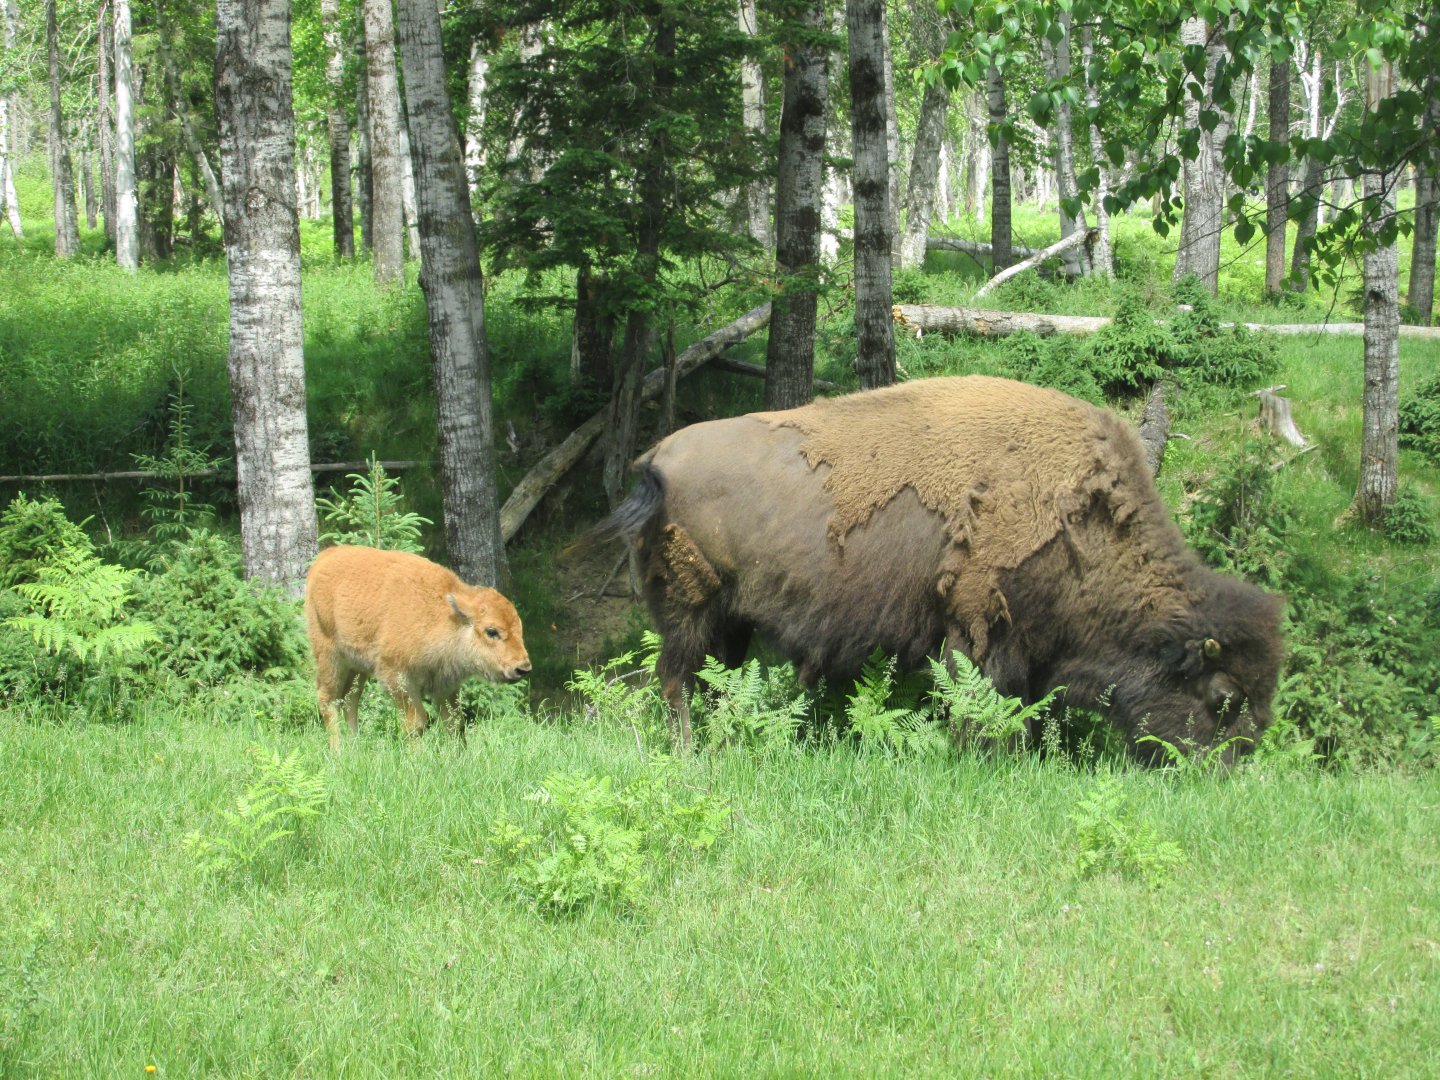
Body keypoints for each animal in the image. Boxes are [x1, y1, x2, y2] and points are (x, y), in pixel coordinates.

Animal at [594, 375, 1283, 759]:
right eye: (1223, 698)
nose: (1218, 771)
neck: (1079, 526)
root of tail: (655, 458)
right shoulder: (979, 629)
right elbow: (977, 699)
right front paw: (980, 754)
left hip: (729, 621)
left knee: (713, 679)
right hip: (689, 612)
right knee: (677, 681)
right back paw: (690, 751)